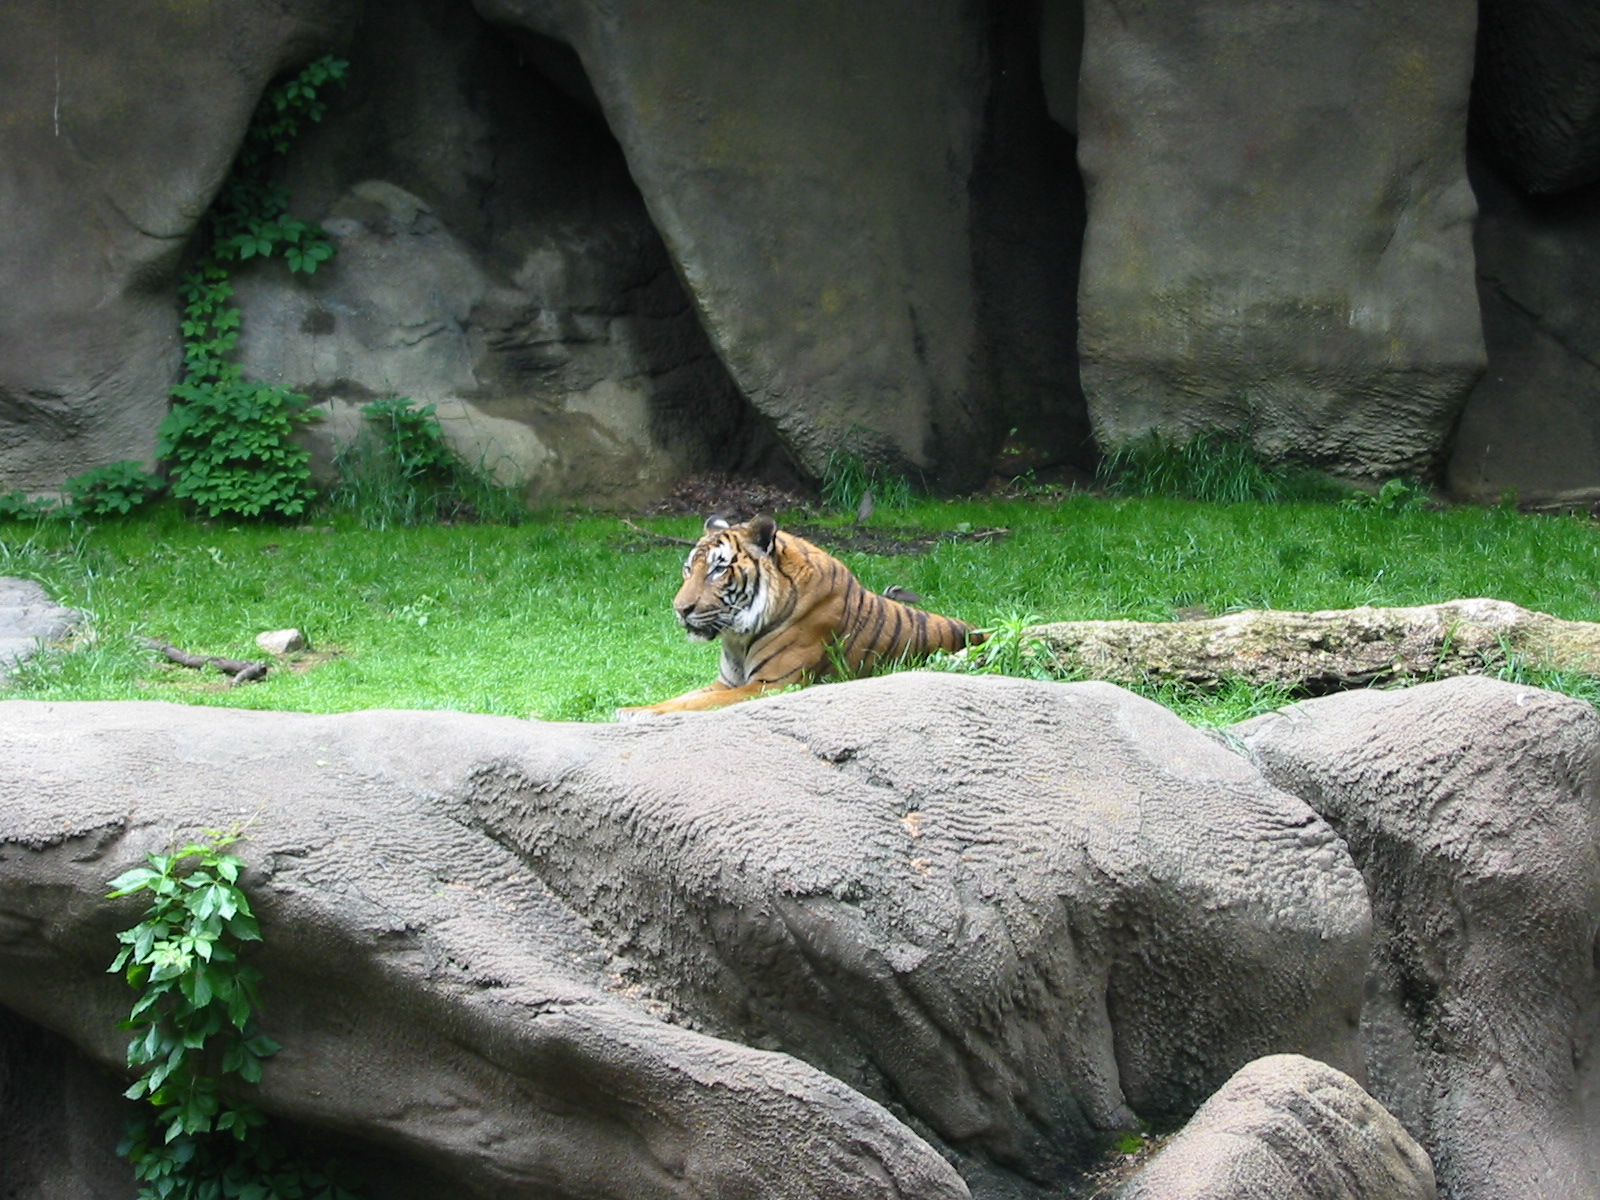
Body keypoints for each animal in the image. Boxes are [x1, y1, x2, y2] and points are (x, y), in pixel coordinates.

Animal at [616, 514, 985, 717]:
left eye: (718, 570)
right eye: (688, 569)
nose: (681, 609)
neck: (738, 637)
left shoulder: (769, 684)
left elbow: (695, 704)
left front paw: (635, 716)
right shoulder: (726, 682)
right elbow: (682, 697)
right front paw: (635, 709)